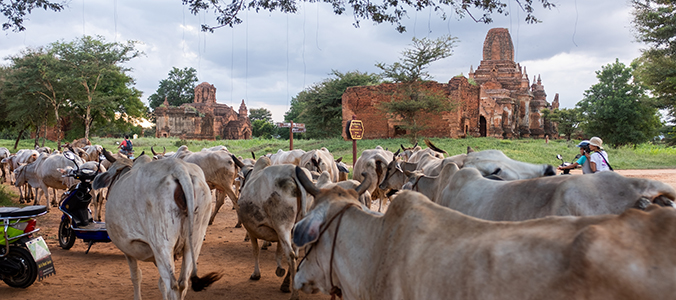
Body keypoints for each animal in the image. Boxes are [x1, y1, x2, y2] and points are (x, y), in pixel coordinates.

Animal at [91, 152, 219, 300]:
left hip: (162, 244)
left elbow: (136, 277)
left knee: (173, 286)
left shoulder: (128, 250)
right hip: (194, 241)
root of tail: (178, 168)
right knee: (183, 283)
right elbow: (160, 283)